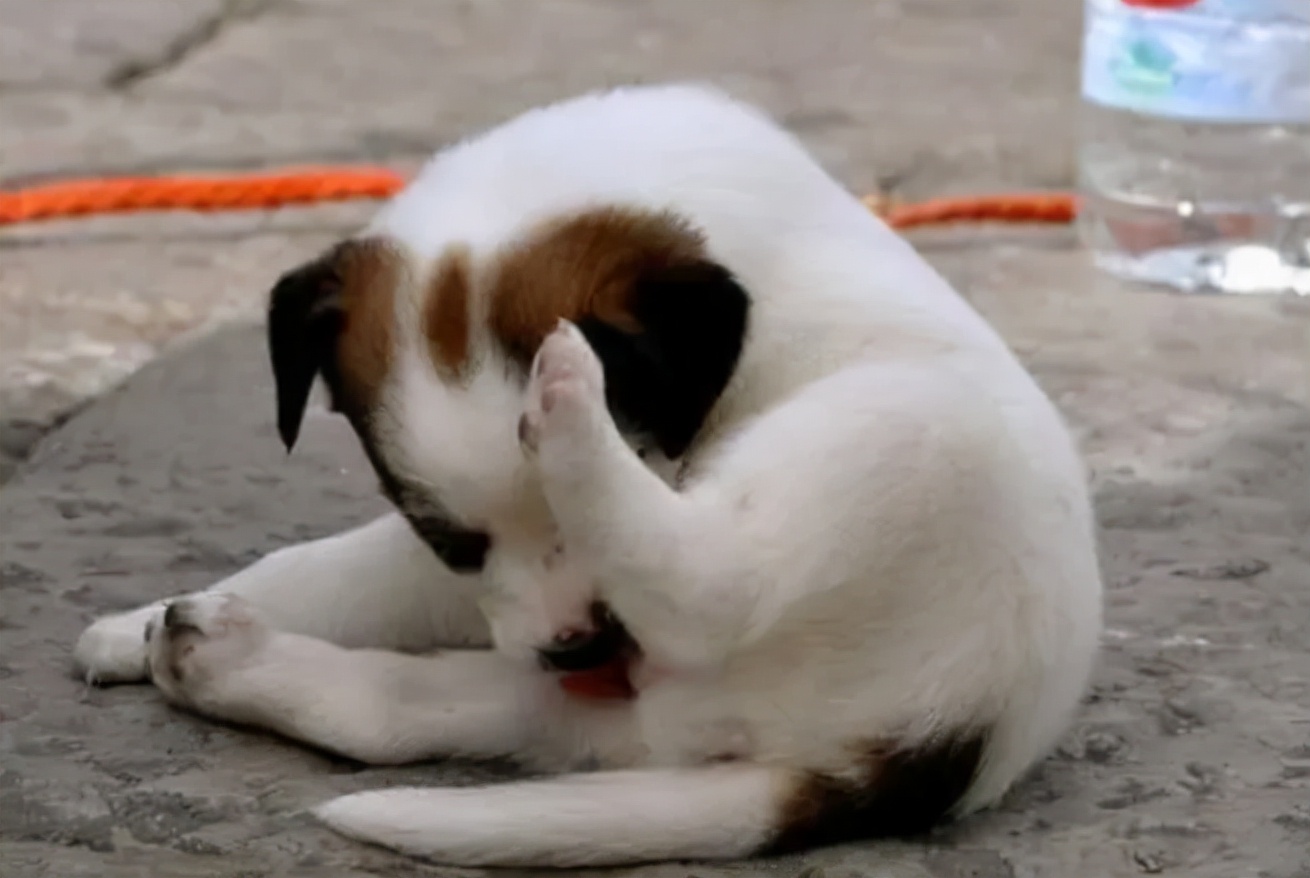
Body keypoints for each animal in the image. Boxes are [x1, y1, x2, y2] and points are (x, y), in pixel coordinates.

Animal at [69, 85, 1095, 870]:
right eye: (456, 542)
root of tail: (942, 745)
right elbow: (333, 573)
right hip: (598, 724)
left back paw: (568, 407)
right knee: (399, 712)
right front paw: (131, 627)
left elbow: (336, 569)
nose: (580, 646)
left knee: (714, 583)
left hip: (894, 435)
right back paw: (215, 657)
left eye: (648, 451)